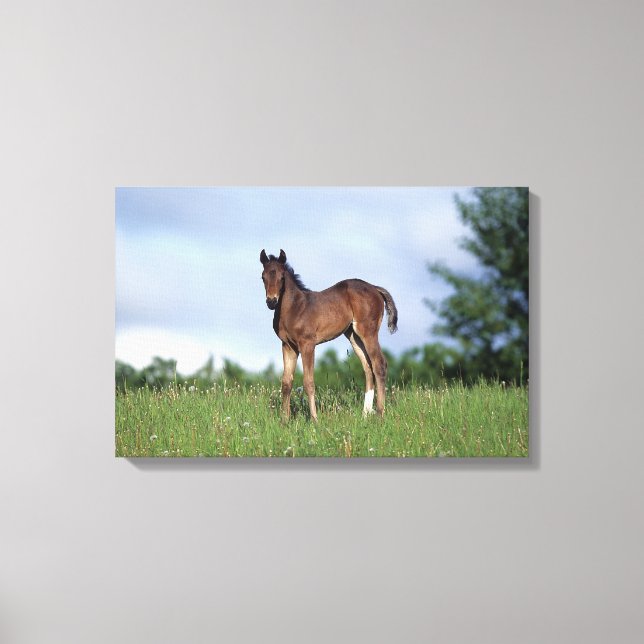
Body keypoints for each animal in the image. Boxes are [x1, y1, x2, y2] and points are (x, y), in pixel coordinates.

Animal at [260, 249, 398, 421]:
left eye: (282, 277)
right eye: (263, 277)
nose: (271, 302)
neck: (294, 308)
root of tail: (374, 287)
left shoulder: (307, 344)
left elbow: (308, 382)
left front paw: (314, 419)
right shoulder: (288, 346)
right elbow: (286, 382)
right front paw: (284, 420)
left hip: (368, 332)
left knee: (379, 364)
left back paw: (379, 413)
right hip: (354, 336)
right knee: (367, 367)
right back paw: (365, 414)